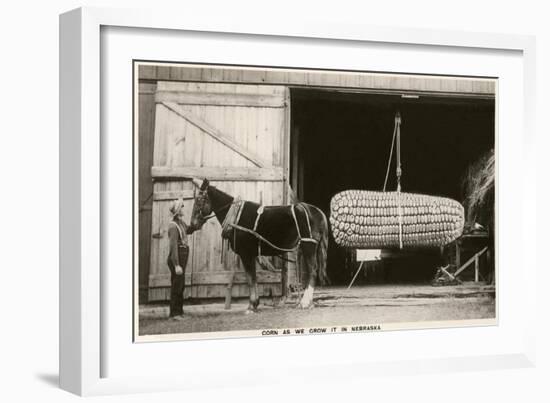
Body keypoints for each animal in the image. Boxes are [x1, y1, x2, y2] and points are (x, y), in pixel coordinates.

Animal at [191, 180, 328, 312]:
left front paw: (252, 305)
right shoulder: (251, 254)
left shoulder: (246, 254)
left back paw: (305, 303)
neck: (236, 216)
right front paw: (255, 303)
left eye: (199, 200)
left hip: (308, 246)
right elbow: (253, 278)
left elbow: (250, 278)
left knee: (313, 271)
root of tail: (318, 211)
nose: (192, 225)